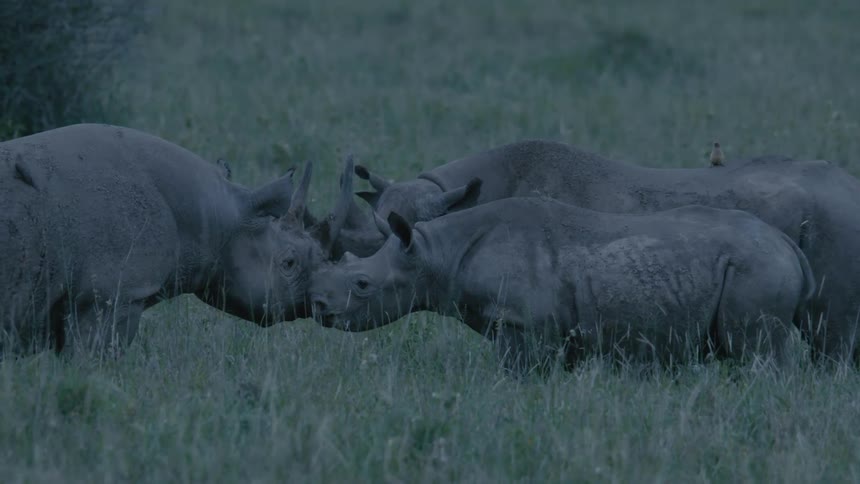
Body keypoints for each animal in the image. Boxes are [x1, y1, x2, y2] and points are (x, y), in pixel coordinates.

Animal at [310, 198, 814, 371]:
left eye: (362, 284)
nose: (318, 306)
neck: (435, 254)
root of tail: (789, 245)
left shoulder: (524, 327)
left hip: (756, 267)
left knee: (756, 352)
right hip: (757, 262)